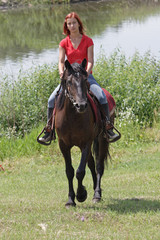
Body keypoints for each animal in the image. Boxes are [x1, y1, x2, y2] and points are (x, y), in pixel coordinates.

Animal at [54, 58, 109, 206]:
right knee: (91, 164)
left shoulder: (86, 143)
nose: (82, 105)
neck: (72, 117)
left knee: (99, 166)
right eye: (68, 81)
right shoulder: (63, 145)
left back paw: (97, 194)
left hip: (102, 139)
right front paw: (70, 200)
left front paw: (81, 194)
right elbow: (69, 171)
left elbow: (80, 171)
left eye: (85, 80)